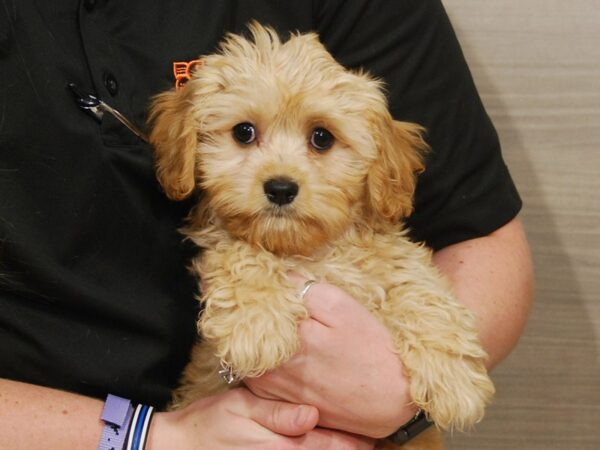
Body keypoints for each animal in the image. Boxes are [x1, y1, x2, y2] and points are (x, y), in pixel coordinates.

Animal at [149, 22, 492, 450]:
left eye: (322, 138)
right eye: (244, 132)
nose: (280, 188)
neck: (310, 251)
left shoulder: (391, 256)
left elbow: (420, 289)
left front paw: (455, 380)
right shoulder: (226, 238)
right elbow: (241, 252)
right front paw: (257, 324)